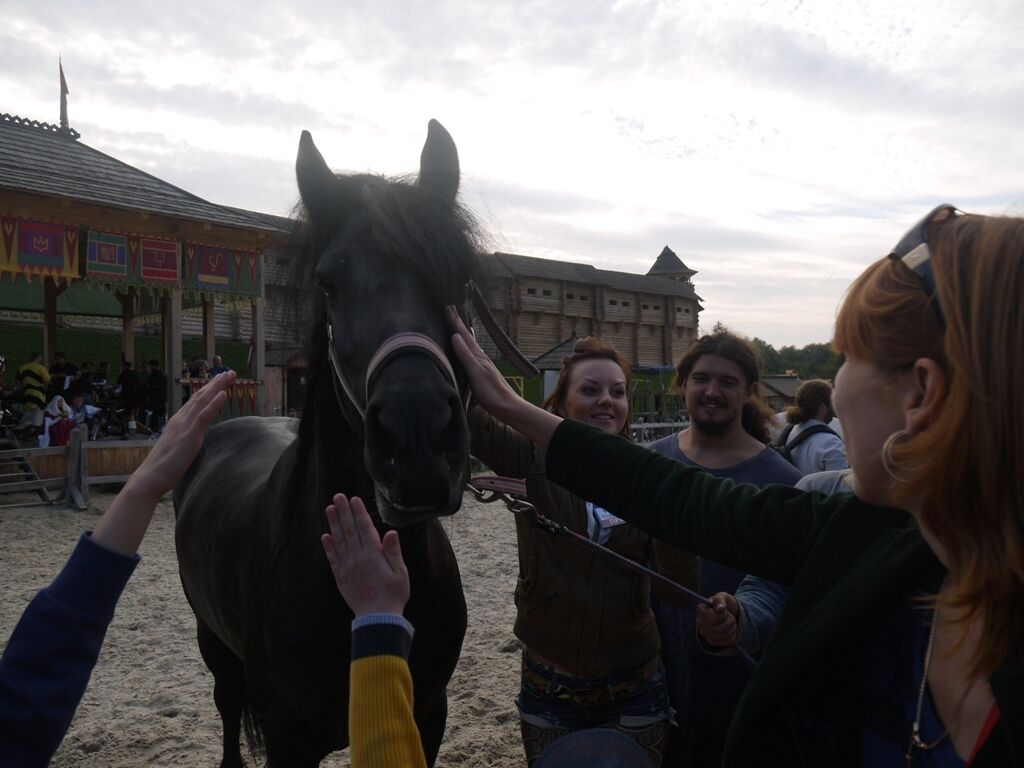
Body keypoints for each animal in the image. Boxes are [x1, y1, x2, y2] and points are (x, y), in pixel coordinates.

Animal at [175, 121, 475, 768]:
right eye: (328, 282)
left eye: (458, 277)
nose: (417, 440)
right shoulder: (289, 735)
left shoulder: (429, 713)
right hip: (214, 645)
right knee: (227, 707)